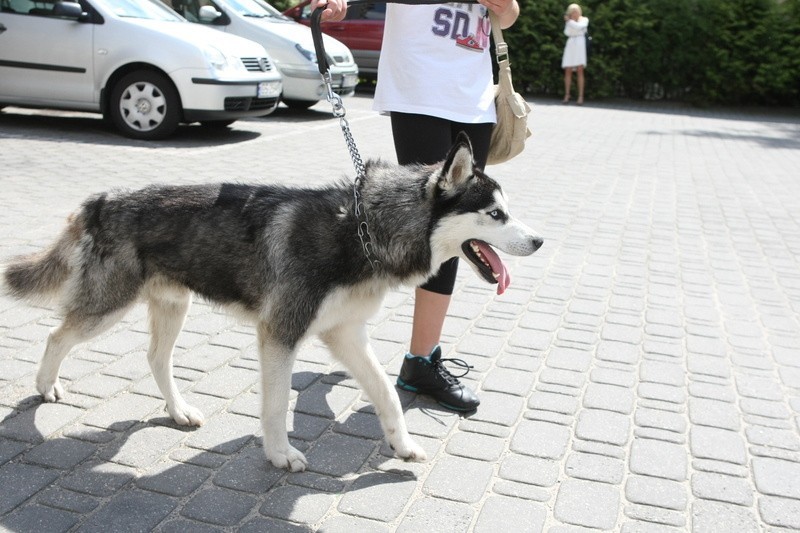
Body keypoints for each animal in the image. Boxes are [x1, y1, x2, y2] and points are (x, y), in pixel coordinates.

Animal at [3, 132, 540, 470]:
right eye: (495, 214)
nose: (538, 241)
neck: (361, 230)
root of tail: (100, 199)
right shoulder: (280, 334)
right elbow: (279, 404)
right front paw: (280, 455)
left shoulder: (345, 334)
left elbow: (387, 393)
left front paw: (402, 446)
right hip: (108, 307)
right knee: (57, 334)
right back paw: (46, 386)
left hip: (173, 306)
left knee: (155, 358)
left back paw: (178, 411)